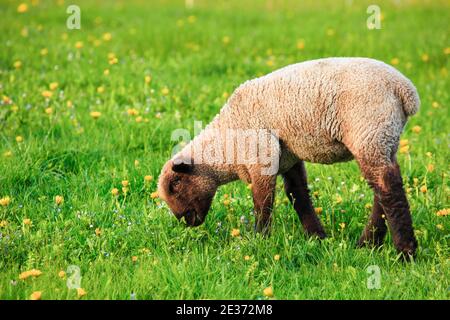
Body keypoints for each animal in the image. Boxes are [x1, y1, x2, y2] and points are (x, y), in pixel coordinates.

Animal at [157, 57, 418, 258]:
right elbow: (298, 195)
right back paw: (368, 244)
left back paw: (405, 253)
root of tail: (404, 90)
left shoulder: (261, 155)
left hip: (369, 131)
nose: (184, 220)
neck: (227, 145)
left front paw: (260, 240)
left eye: (174, 185)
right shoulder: (288, 158)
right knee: (381, 190)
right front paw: (317, 237)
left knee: (389, 189)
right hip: (384, 139)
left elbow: (263, 203)